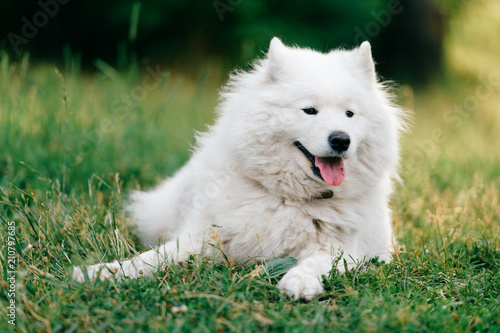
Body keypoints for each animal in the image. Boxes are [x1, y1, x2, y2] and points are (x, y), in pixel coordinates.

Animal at [73, 37, 406, 300]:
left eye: (350, 114)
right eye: (309, 110)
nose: (341, 139)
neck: (287, 197)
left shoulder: (342, 249)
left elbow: (317, 263)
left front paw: (300, 281)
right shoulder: (204, 237)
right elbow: (151, 258)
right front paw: (103, 272)